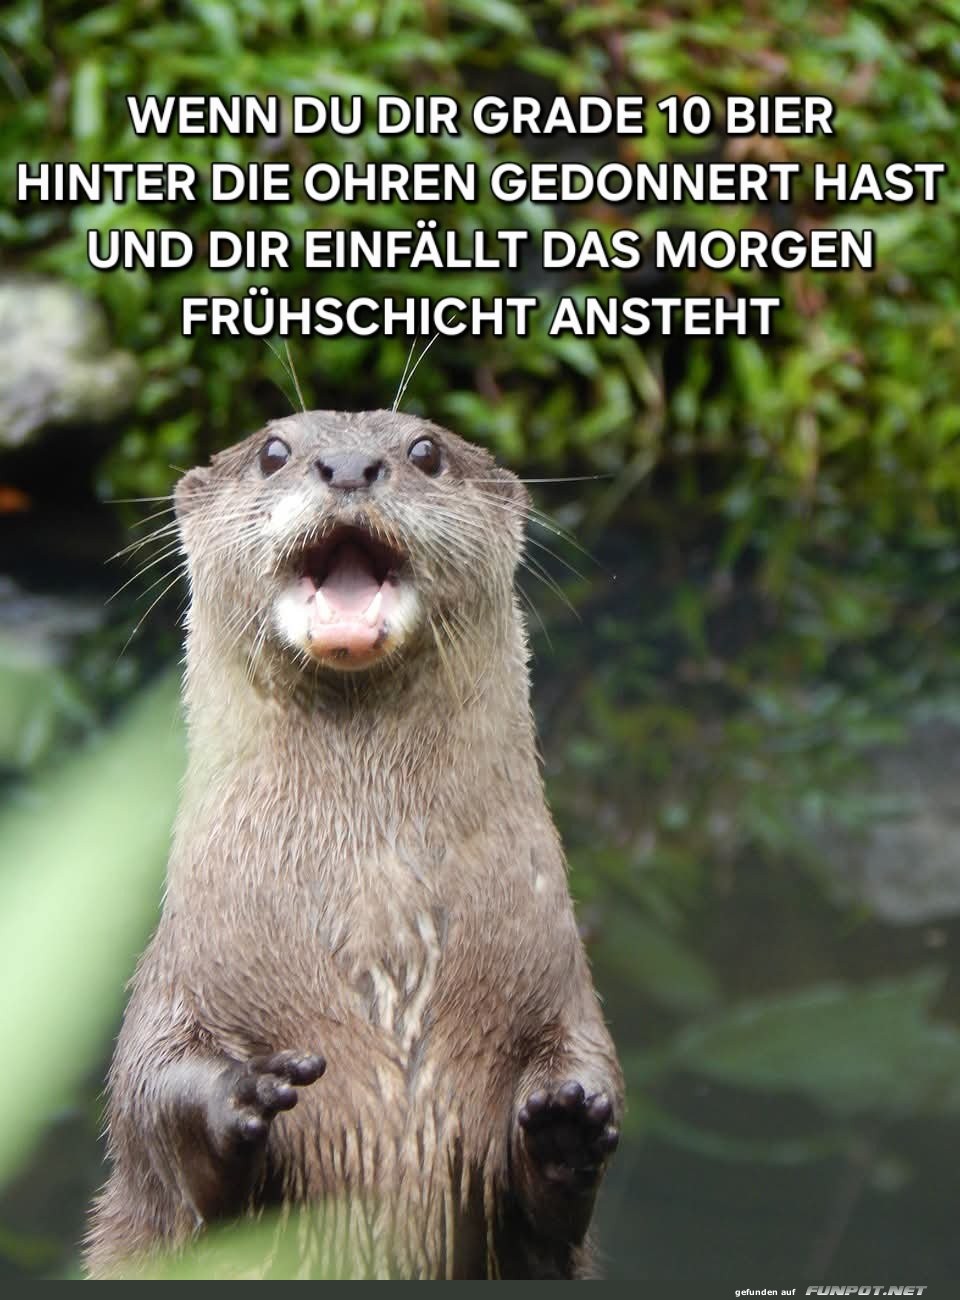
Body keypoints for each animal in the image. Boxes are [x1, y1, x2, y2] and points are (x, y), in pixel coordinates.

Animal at [86, 410, 623, 1279]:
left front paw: (567, 1129)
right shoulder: (180, 981)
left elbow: (575, 1120)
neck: (380, 921)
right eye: (273, 451)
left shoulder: (559, 988)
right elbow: (150, 1099)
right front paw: (238, 1094)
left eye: (426, 452)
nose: (346, 465)